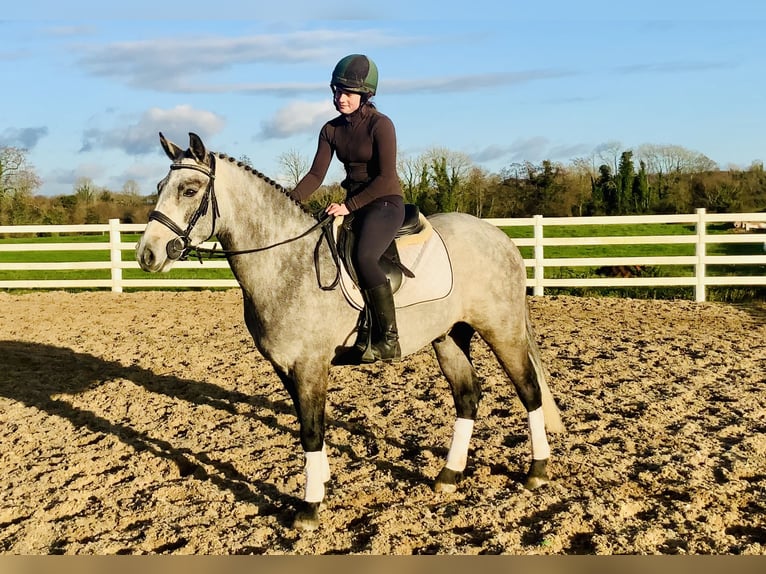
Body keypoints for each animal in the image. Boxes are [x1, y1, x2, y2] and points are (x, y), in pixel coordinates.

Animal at [136, 132, 565, 531]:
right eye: (159, 186)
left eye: (189, 190)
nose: (147, 254)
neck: (286, 263)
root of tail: (500, 237)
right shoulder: (285, 366)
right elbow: (310, 427)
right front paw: (322, 483)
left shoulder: (310, 365)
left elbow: (311, 430)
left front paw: (309, 507)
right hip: (449, 336)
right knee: (468, 396)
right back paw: (448, 476)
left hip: (502, 329)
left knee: (528, 390)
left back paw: (537, 471)